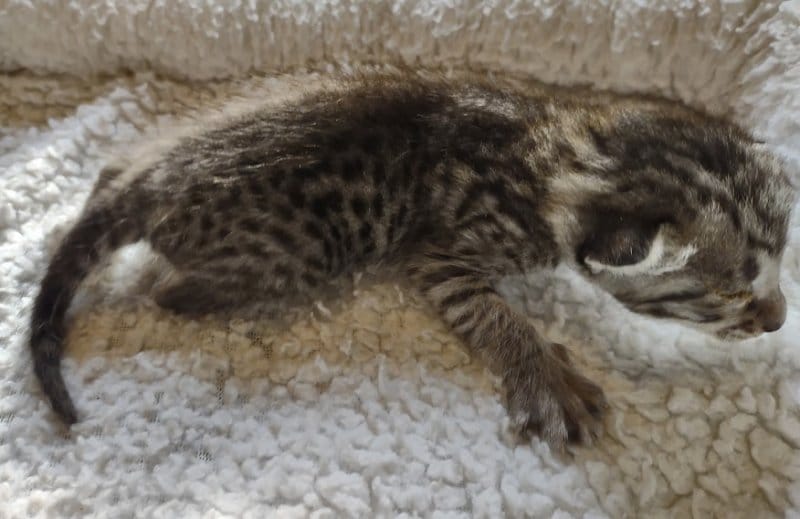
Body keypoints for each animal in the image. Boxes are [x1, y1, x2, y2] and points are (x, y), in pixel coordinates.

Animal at [29, 72, 794, 450]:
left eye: (782, 265)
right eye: (729, 294)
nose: (780, 319)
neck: (561, 149)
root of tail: (149, 184)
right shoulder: (444, 255)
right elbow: (495, 315)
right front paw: (545, 377)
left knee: (114, 165)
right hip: (295, 251)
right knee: (163, 288)